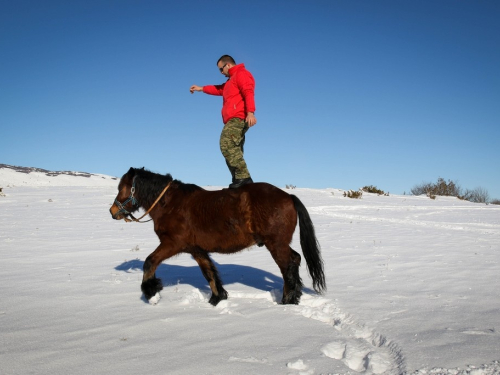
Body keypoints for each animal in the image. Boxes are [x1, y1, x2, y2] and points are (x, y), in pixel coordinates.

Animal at [109, 167, 326, 306]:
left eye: (122, 188)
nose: (113, 212)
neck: (170, 204)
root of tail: (288, 197)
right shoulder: (196, 249)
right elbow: (209, 273)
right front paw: (217, 299)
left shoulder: (172, 244)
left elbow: (149, 262)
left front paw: (151, 292)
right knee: (295, 260)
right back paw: (295, 297)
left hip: (276, 244)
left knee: (288, 266)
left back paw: (287, 301)